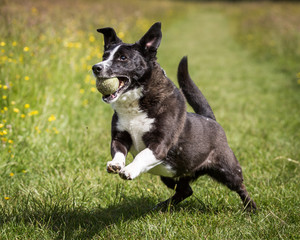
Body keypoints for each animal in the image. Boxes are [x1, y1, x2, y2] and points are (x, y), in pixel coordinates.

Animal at [91, 21, 255, 211]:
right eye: (104, 56)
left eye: (123, 58)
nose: (96, 67)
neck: (136, 104)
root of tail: (210, 119)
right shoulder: (120, 137)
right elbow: (118, 151)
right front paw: (116, 165)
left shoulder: (160, 145)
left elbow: (142, 155)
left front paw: (130, 170)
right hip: (170, 174)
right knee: (185, 190)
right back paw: (162, 207)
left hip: (227, 169)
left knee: (240, 186)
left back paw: (252, 209)